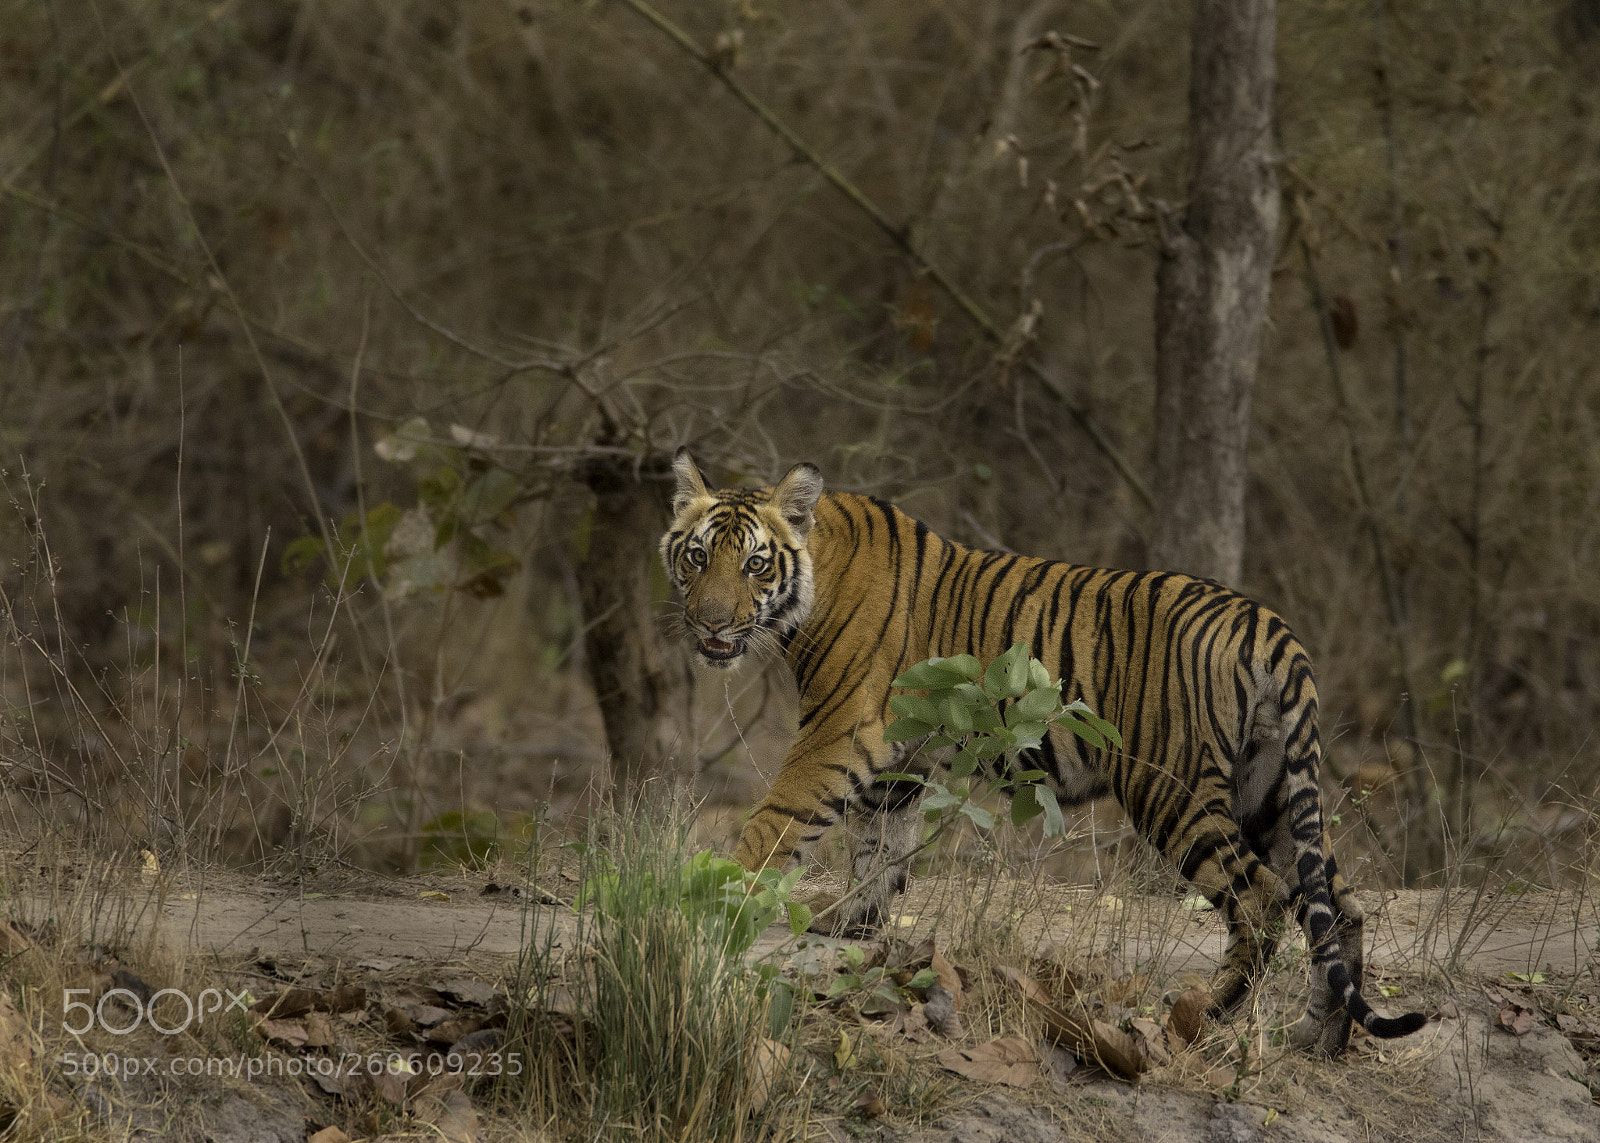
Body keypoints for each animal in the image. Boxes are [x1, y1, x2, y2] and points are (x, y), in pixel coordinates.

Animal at [658, 448, 1427, 1057]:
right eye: (696, 557)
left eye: (755, 565)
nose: (710, 624)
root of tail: (1266, 622)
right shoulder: (899, 757)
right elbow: (880, 848)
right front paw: (853, 925)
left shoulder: (836, 730)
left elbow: (777, 821)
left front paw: (717, 894)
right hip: (1269, 790)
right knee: (1338, 907)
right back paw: (1319, 1039)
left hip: (1173, 788)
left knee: (1261, 900)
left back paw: (1207, 1013)